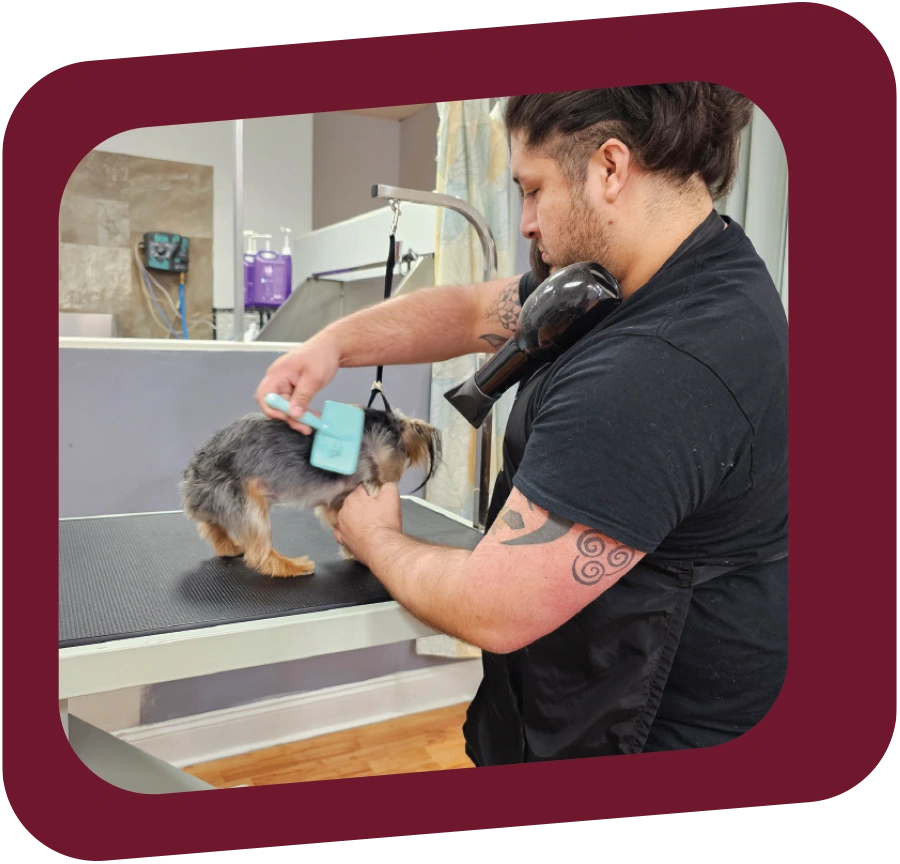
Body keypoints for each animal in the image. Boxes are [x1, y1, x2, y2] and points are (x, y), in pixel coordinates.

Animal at [178, 406, 440, 580]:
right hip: (245, 500)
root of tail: (193, 470)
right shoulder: (364, 483)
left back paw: (229, 546)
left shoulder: (334, 500)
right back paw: (291, 566)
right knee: (260, 553)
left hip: (218, 497)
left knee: (211, 525)